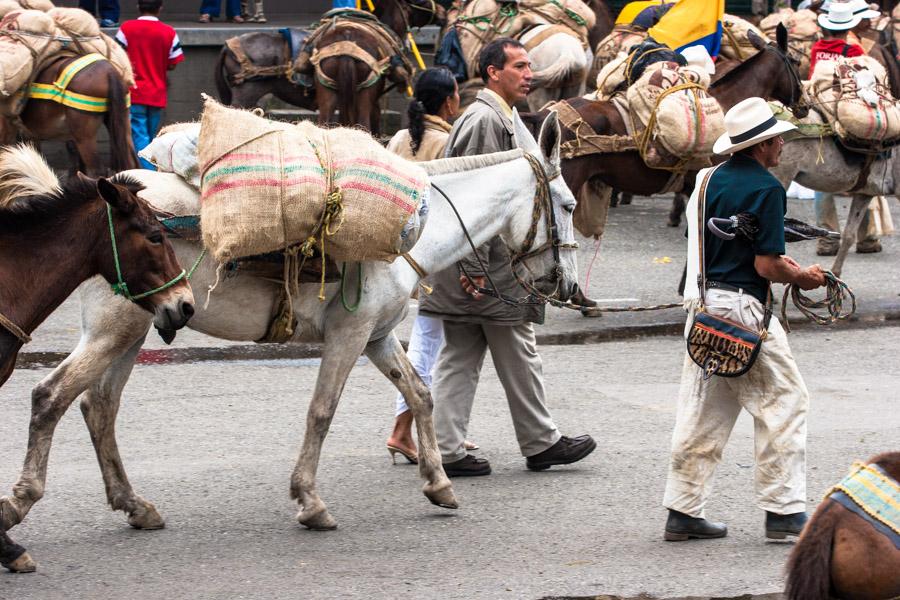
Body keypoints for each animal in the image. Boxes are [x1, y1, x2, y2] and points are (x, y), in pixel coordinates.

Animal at [0, 55, 139, 178]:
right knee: (132, 164)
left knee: (97, 171)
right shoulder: (31, 135)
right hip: (121, 125)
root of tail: (109, 71)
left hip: (85, 138)